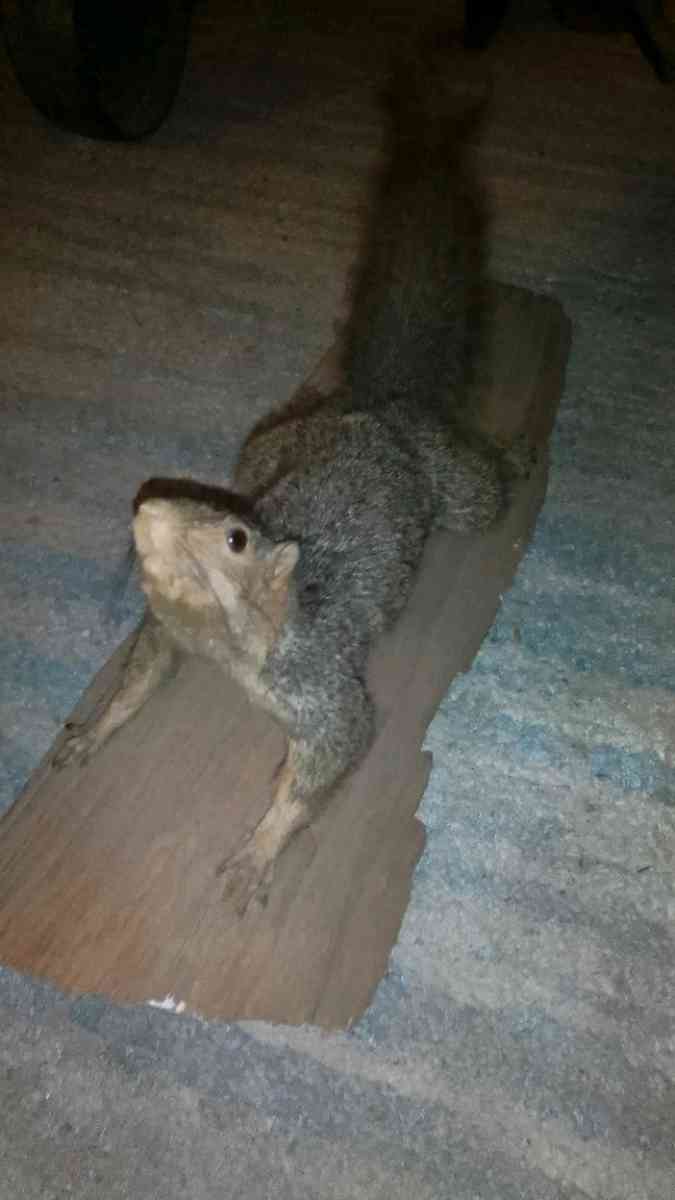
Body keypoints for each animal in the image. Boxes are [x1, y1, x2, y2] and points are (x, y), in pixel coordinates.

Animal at [54, 51, 523, 913]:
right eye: (178, 501)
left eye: (236, 535)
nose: (148, 504)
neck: (225, 642)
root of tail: (373, 406)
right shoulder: (164, 633)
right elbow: (137, 680)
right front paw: (95, 730)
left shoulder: (319, 682)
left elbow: (326, 762)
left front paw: (258, 851)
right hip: (263, 439)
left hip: (456, 488)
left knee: (484, 490)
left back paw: (513, 453)